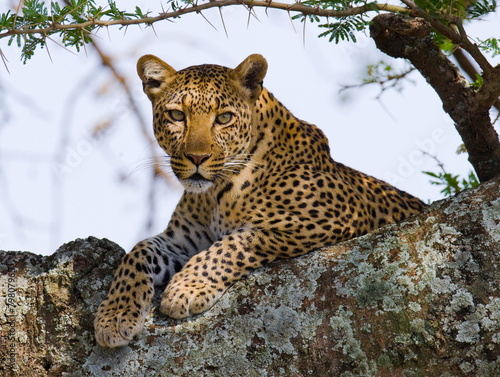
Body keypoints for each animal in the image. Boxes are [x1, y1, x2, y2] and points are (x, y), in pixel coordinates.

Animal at [94, 53, 426, 346]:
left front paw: (186, 289)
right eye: (177, 115)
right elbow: (138, 252)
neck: (214, 195)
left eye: (224, 118)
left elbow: (234, 243)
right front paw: (115, 316)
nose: (197, 158)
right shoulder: (182, 241)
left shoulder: (330, 217)